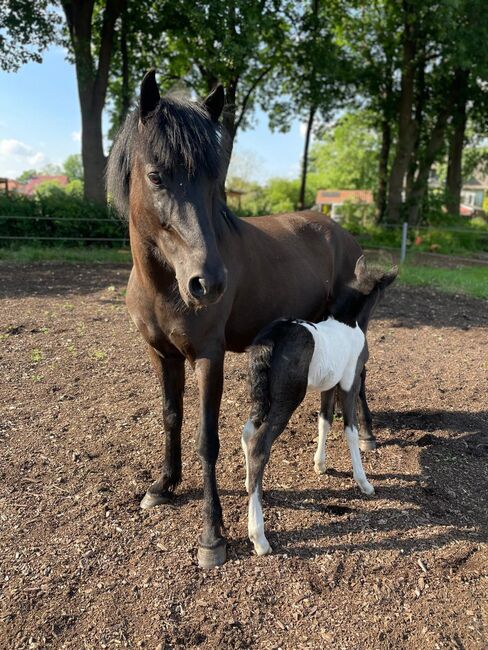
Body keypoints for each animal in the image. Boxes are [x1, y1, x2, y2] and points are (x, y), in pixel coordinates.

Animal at [240, 256, 396, 556]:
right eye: (383, 292)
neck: (348, 323)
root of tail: (271, 337)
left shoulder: (328, 386)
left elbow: (324, 420)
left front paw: (320, 465)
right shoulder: (349, 383)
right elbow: (350, 430)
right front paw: (364, 482)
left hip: (260, 397)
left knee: (247, 433)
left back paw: (250, 485)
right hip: (286, 400)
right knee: (258, 445)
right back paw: (259, 538)